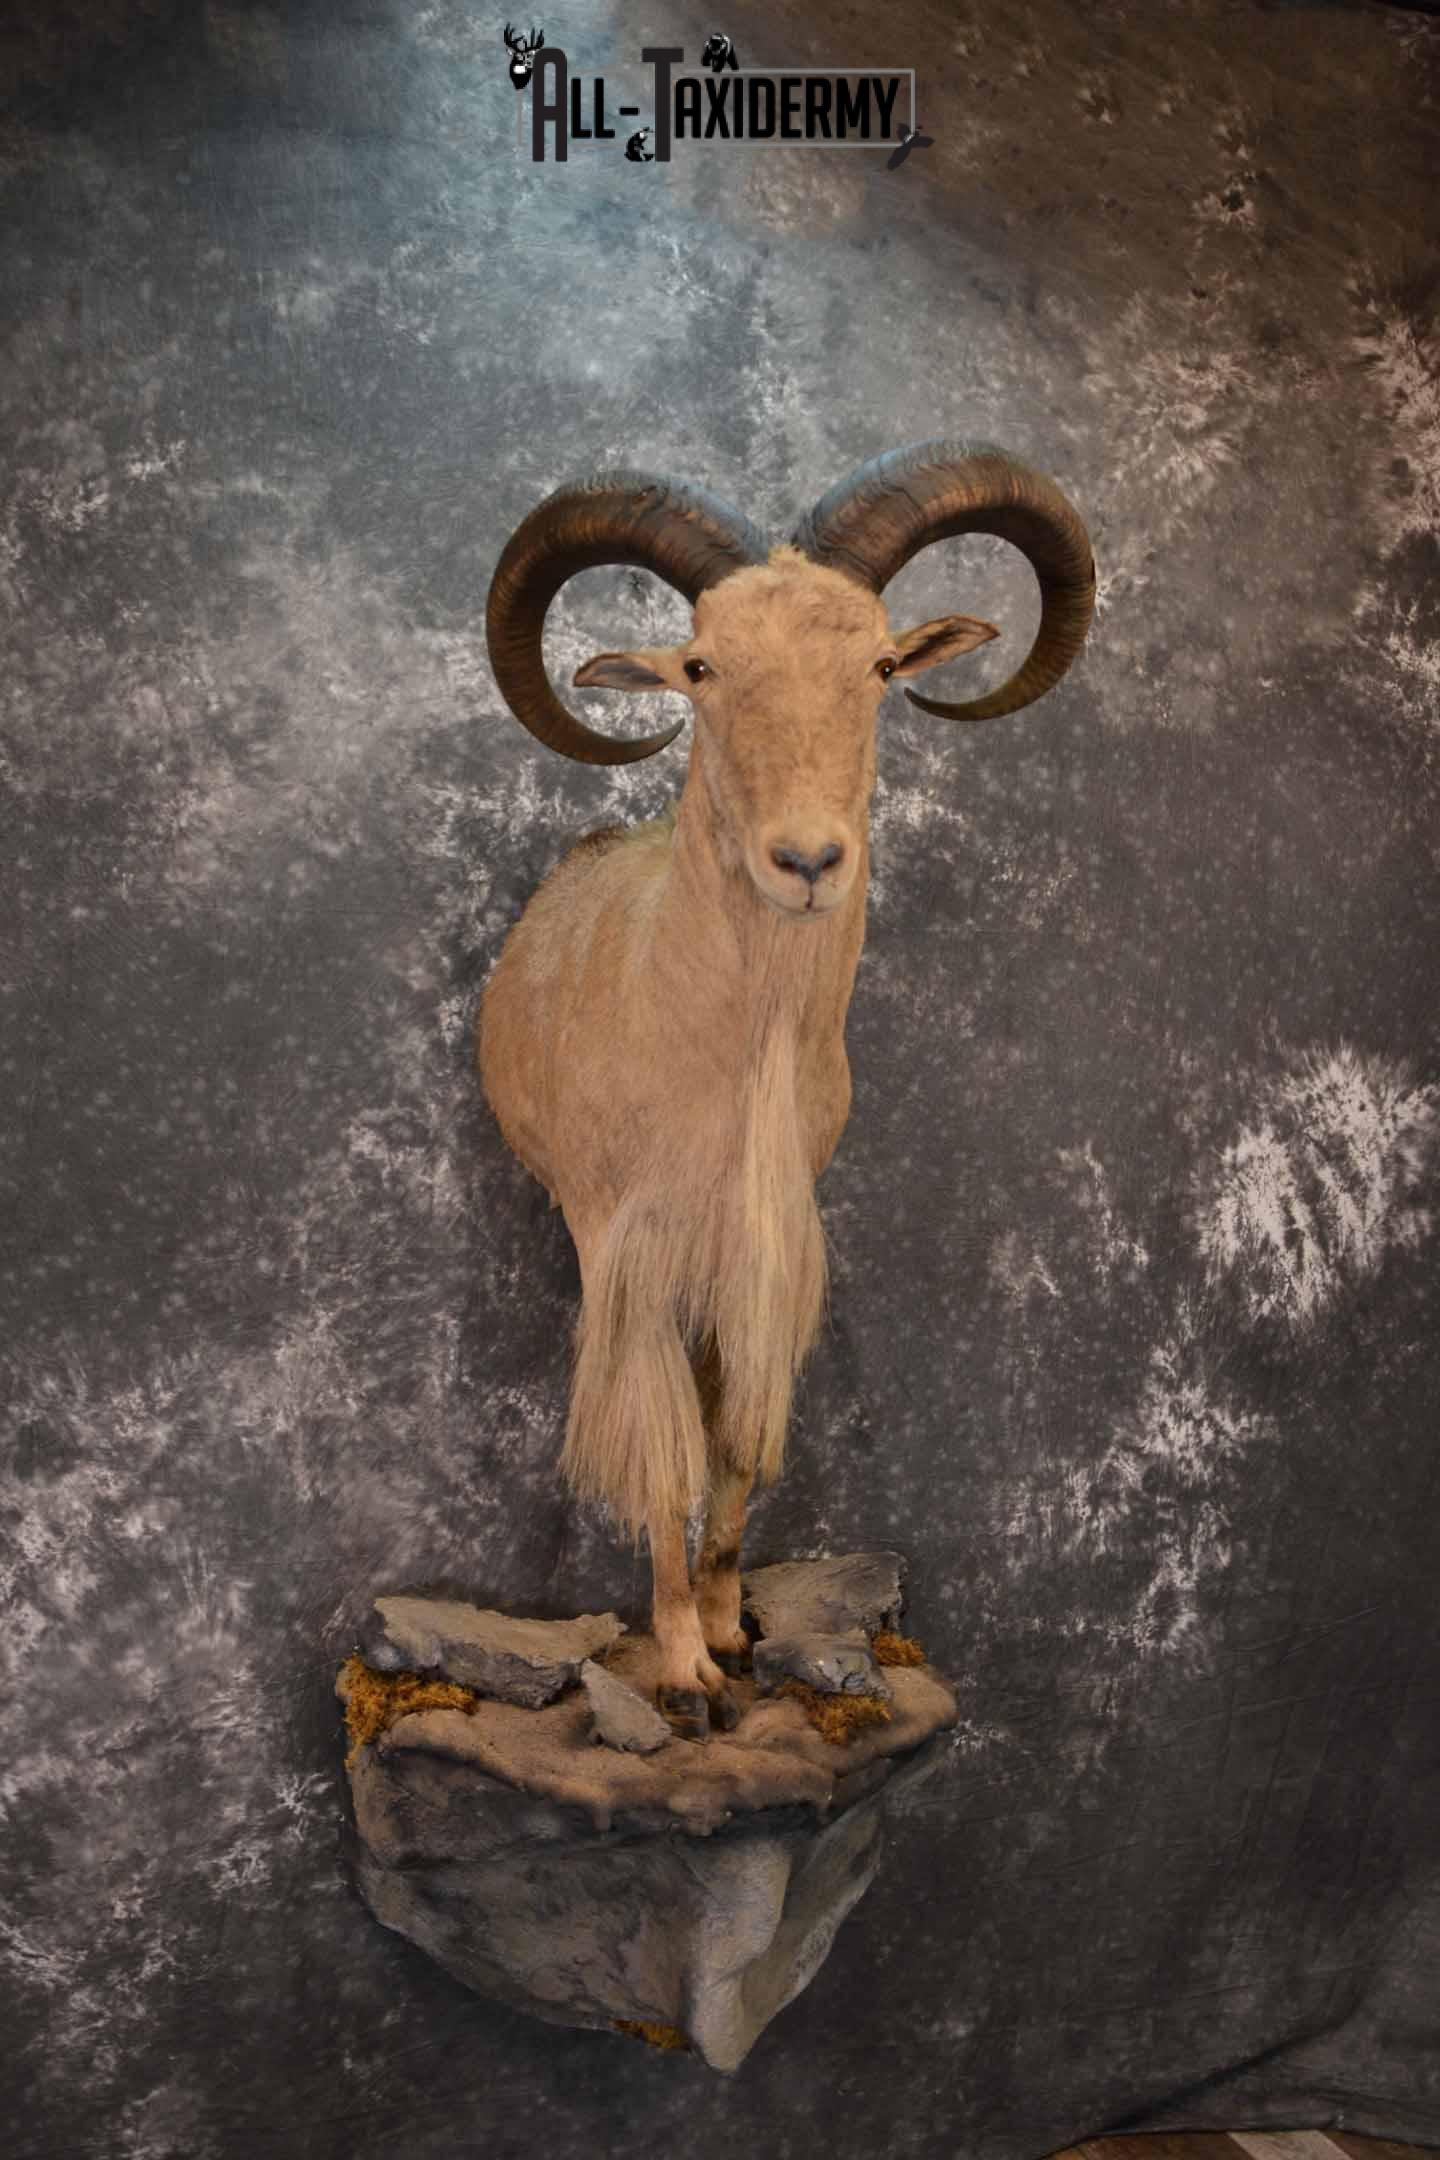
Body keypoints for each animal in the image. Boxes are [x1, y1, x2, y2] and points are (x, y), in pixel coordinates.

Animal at [479, 441, 1095, 1739]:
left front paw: (726, 1632)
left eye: (879, 665)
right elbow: (662, 1453)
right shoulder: (632, 1255)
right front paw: (682, 1674)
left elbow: (733, 1443)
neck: (727, 1047)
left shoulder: (764, 1249)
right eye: (703, 667)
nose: (808, 862)